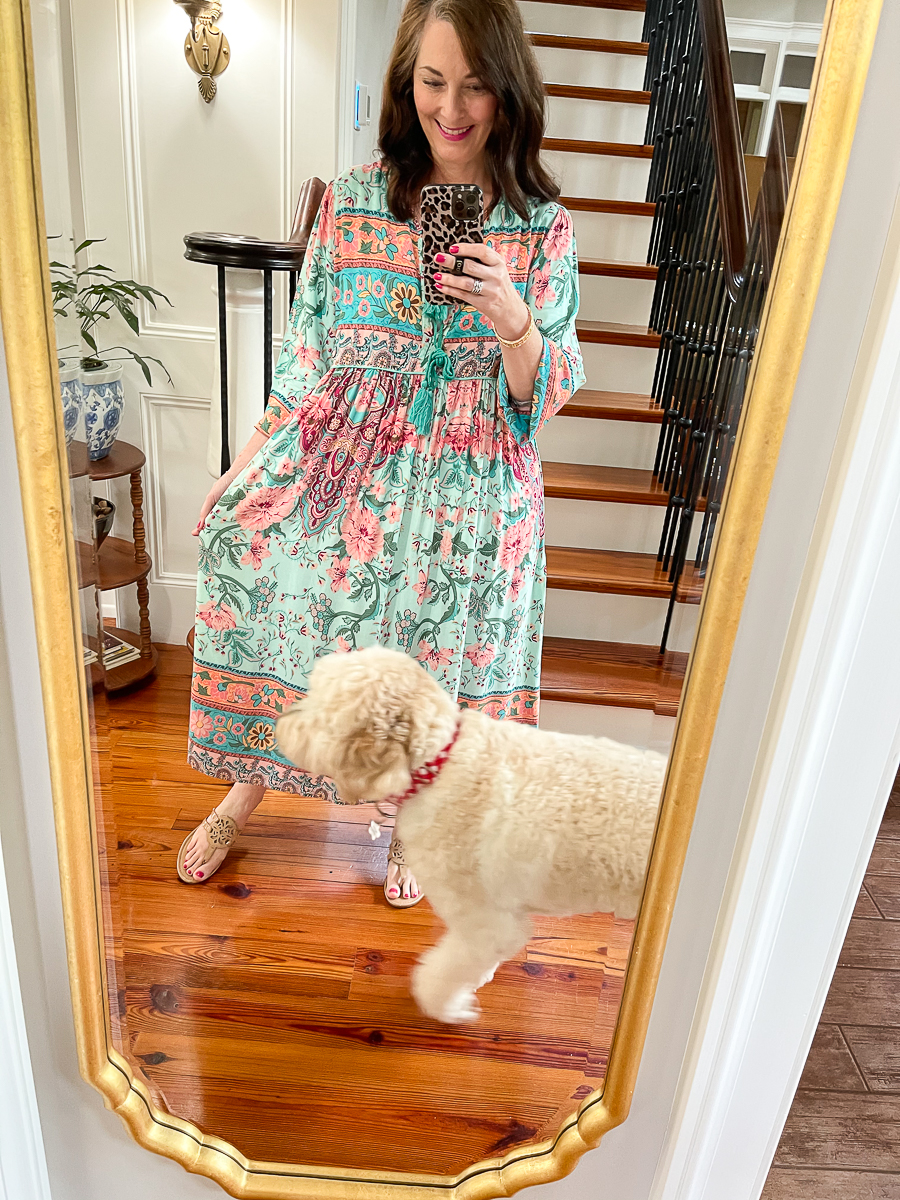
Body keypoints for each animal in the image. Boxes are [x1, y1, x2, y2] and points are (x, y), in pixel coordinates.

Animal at [278, 648, 667, 1022]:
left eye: (317, 710)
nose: (281, 722)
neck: (440, 762)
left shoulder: (486, 922)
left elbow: (443, 974)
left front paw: (447, 1005)